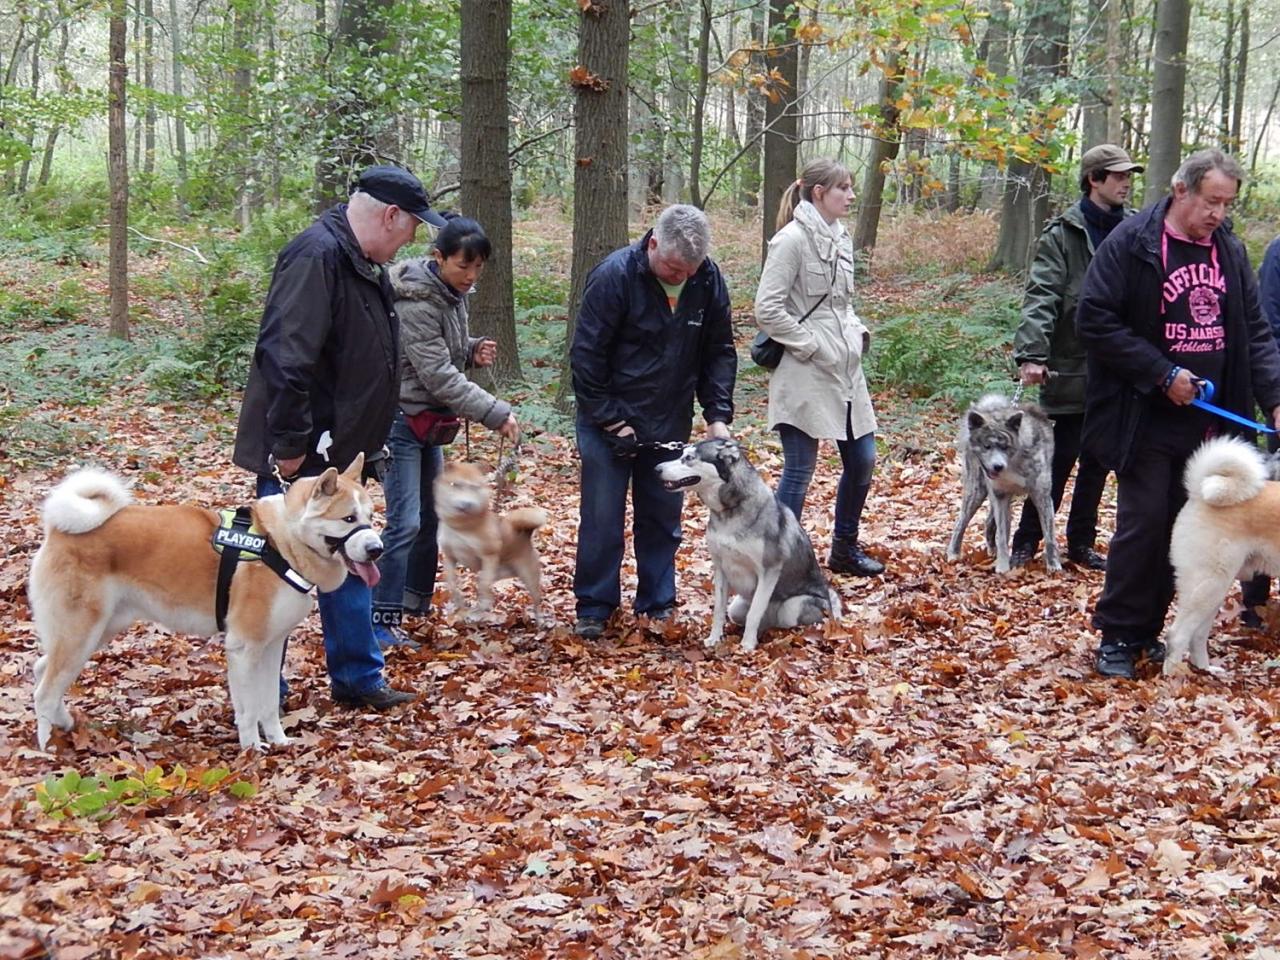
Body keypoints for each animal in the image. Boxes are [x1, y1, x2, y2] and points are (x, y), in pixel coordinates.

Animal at [660, 437, 839, 655]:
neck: (730, 511)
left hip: (791, 609)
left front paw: (747, 644)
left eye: (689, 458)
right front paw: (714, 638)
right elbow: (718, 610)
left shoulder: (769, 571)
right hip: (737, 607)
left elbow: (754, 613)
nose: (657, 468)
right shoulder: (721, 568)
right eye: (681, 454)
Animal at [942, 394, 1059, 576]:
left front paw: (1053, 565)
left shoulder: (1042, 497)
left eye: (1005, 446)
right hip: (976, 492)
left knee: (989, 522)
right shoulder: (1000, 497)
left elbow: (1049, 536)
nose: (997, 466)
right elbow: (1002, 536)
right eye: (986, 446)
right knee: (960, 523)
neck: (1014, 462)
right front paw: (1003, 566)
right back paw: (954, 553)